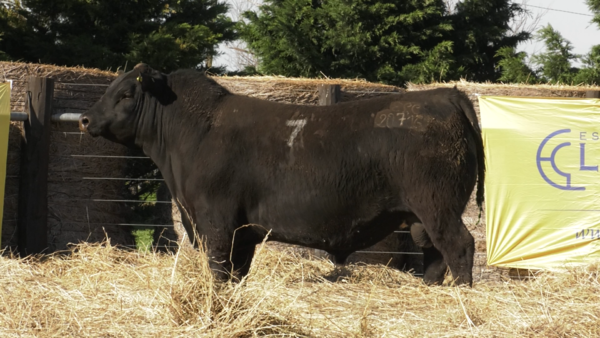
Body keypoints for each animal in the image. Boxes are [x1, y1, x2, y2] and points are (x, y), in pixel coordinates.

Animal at [79, 63, 486, 286]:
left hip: (438, 208)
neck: (195, 133)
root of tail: (446, 95)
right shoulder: (243, 231)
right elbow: (236, 274)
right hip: (419, 217)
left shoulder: (216, 221)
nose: (84, 118)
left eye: (126, 93)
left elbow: (219, 269)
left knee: (460, 247)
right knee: (434, 258)